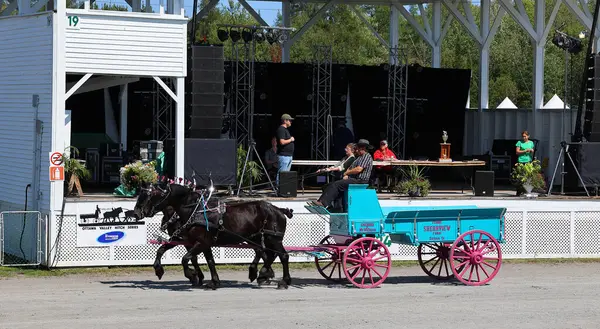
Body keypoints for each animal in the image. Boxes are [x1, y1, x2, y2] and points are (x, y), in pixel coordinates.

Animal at [134, 183, 292, 288]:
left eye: (149, 195)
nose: (136, 213)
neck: (194, 210)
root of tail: (279, 209)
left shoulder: (200, 242)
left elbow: (186, 259)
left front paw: (192, 275)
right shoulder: (197, 242)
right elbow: (208, 261)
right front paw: (213, 281)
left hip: (273, 238)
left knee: (282, 256)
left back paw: (281, 280)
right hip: (257, 238)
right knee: (267, 253)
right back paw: (262, 274)